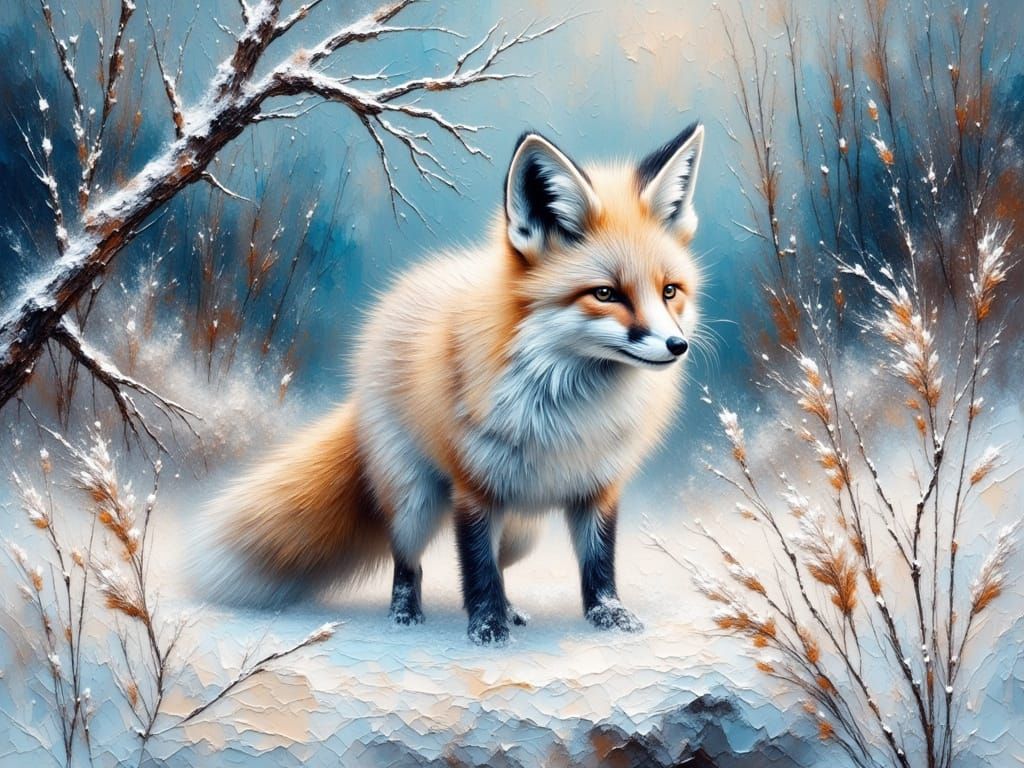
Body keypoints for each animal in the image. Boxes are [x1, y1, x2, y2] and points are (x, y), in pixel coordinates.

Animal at [200, 122, 706, 644]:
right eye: (606, 294)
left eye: (670, 291)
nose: (677, 345)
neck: (572, 410)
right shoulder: (474, 488)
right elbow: (476, 566)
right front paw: (486, 627)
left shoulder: (598, 488)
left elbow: (598, 564)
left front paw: (608, 616)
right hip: (415, 503)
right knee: (409, 562)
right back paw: (405, 615)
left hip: (523, 530)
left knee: (503, 563)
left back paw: (511, 608)